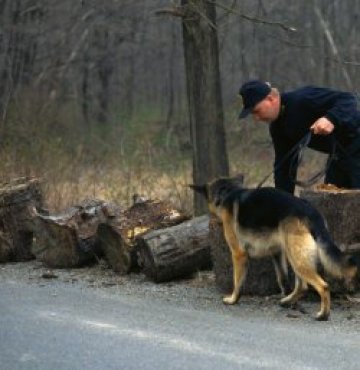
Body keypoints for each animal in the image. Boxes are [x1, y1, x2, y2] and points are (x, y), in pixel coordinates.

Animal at [190, 178, 358, 320]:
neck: (227, 193)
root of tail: (309, 210)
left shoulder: (238, 254)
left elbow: (237, 281)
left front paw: (233, 299)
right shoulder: (277, 253)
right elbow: (282, 279)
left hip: (296, 258)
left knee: (323, 286)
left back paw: (323, 314)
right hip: (293, 256)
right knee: (302, 286)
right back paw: (287, 301)